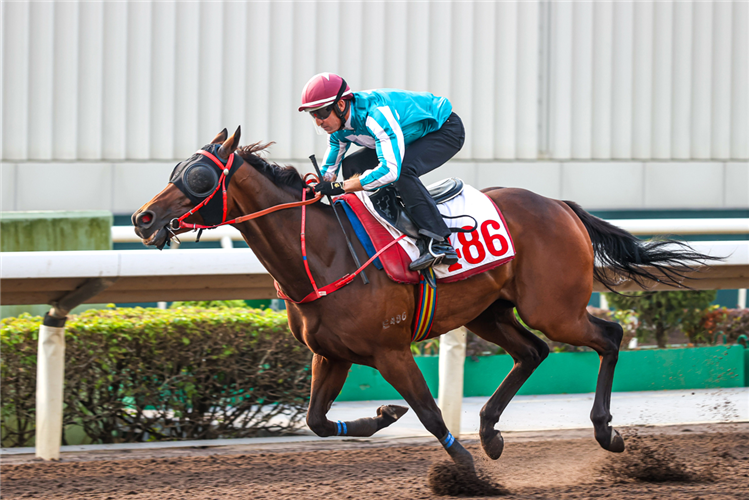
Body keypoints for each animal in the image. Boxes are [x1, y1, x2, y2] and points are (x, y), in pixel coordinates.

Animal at [133, 128, 712, 472]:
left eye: (198, 175)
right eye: (175, 169)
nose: (142, 218)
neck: (322, 253)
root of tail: (561, 205)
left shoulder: (390, 351)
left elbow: (431, 415)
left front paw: (467, 474)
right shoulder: (332, 354)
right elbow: (317, 421)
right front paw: (385, 416)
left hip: (553, 308)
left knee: (607, 337)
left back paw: (605, 432)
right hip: (488, 312)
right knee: (533, 352)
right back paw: (490, 431)